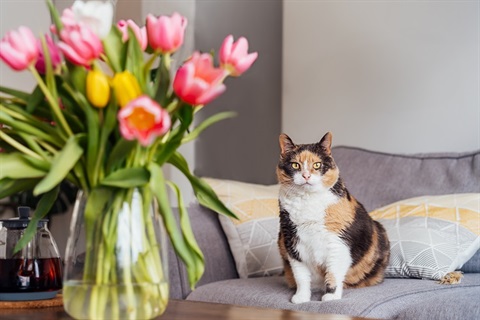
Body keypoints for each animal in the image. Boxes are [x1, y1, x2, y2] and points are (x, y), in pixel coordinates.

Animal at [278, 132, 390, 302]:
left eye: (317, 165)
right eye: (295, 165)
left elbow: (333, 272)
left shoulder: (338, 242)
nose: (306, 175)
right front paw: (301, 297)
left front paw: (330, 296)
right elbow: (301, 275)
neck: (307, 201)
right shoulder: (291, 241)